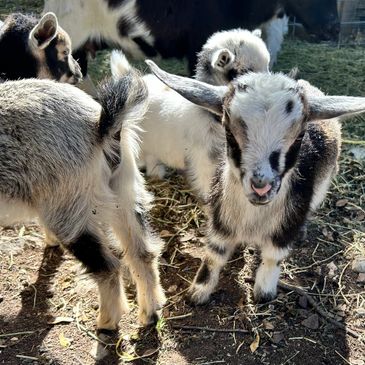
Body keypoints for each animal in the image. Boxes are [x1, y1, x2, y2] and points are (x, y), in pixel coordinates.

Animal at [0, 71, 165, 328]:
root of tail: (100, 126)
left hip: (71, 207)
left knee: (108, 267)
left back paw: (106, 323)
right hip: (126, 190)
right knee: (144, 252)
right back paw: (149, 315)